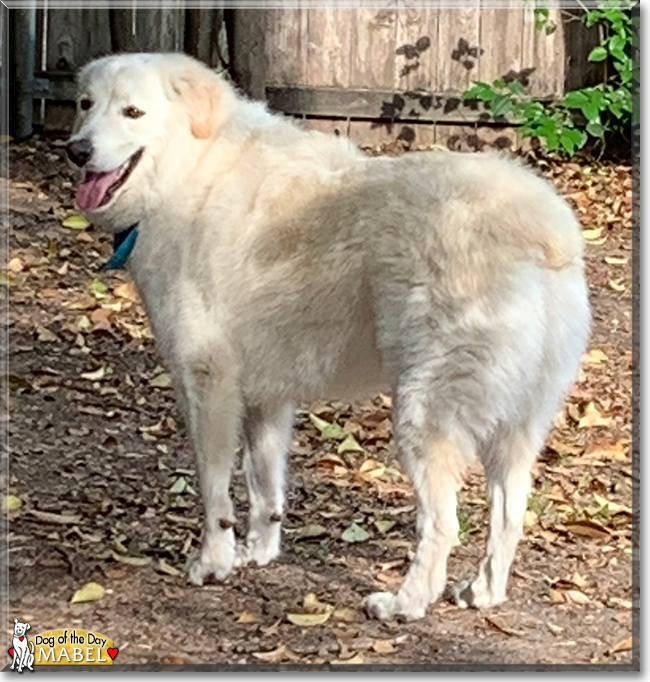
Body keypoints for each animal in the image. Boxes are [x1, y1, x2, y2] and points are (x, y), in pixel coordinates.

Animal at [66, 51, 588, 616]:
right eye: (85, 104)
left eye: (132, 112)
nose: (77, 151)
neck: (193, 172)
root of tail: (540, 224)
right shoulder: (266, 399)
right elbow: (263, 485)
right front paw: (259, 553)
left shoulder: (208, 386)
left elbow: (215, 489)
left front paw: (214, 562)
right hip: (516, 427)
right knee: (510, 512)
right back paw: (483, 592)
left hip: (425, 415)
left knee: (443, 524)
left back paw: (405, 603)